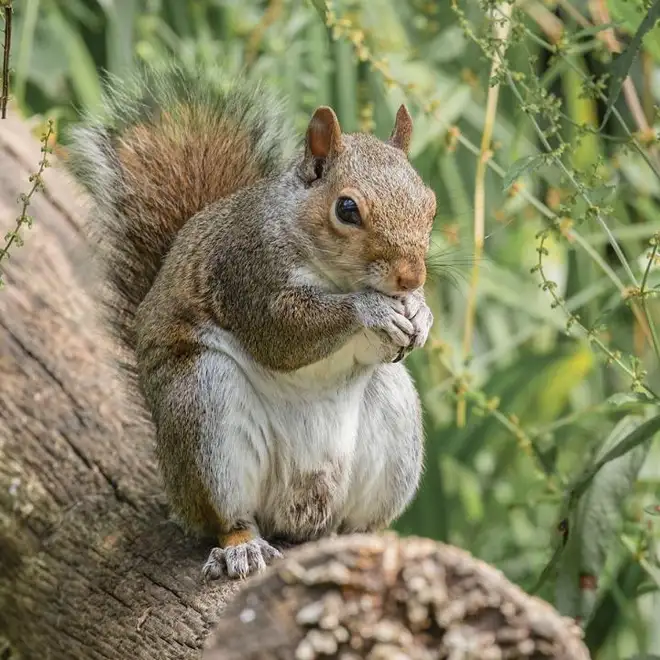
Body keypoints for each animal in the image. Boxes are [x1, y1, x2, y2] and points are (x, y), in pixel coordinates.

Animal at [67, 63, 436, 581]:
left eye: (431, 203)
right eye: (346, 209)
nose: (411, 276)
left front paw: (420, 312)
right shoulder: (245, 274)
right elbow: (283, 335)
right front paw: (373, 309)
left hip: (394, 419)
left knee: (351, 523)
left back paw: (366, 540)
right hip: (206, 408)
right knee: (229, 517)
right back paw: (241, 547)